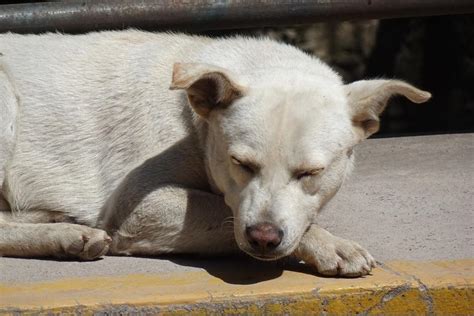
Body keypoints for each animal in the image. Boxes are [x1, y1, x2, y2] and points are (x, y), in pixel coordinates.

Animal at [0, 30, 430, 276]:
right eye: (241, 164)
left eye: (310, 173)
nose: (263, 238)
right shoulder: (138, 207)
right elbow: (224, 214)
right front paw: (329, 243)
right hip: (6, 103)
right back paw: (66, 235)